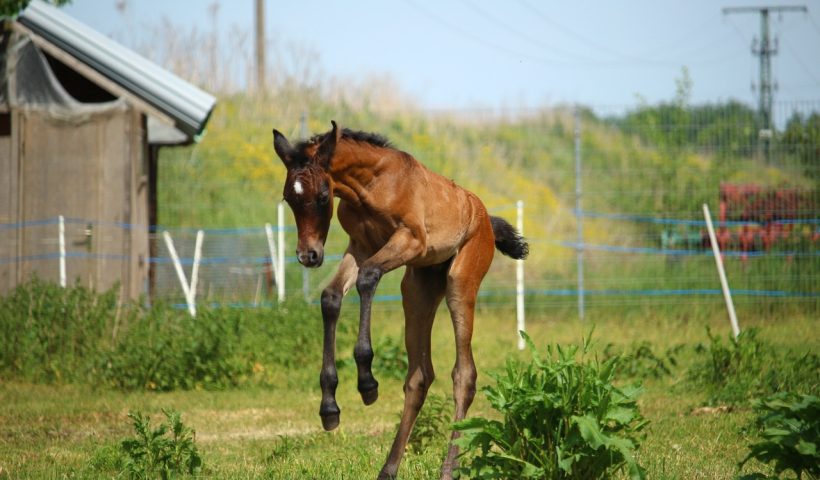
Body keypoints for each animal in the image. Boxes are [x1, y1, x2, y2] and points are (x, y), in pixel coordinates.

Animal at [272, 121, 528, 480]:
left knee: (464, 375)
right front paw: (330, 407)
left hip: (460, 284)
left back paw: (448, 468)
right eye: (288, 197)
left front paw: (367, 382)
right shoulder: (361, 245)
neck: (373, 185)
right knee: (419, 376)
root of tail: (484, 217)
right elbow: (331, 297)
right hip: (417, 290)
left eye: (323, 196)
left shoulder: (410, 241)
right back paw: (389, 468)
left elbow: (368, 278)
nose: (308, 255)